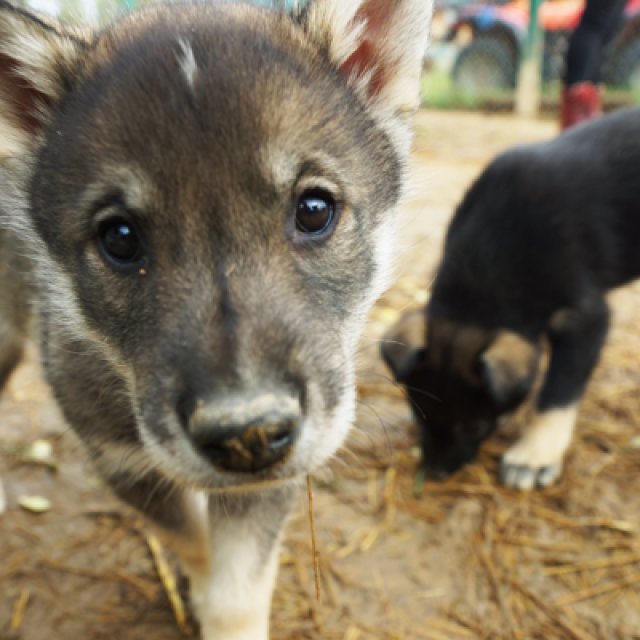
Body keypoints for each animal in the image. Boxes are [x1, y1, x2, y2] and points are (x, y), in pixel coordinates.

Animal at [0, 2, 432, 636]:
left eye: (314, 209)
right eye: (119, 238)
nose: (248, 434)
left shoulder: (276, 476)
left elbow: (239, 587)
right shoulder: (123, 462)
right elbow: (195, 544)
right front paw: (197, 589)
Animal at [382, 109, 640, 490]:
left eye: (476, 426)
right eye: (418, 413)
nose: (437, 473)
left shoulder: (584, 318)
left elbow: (557, 392)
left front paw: (534, 454)